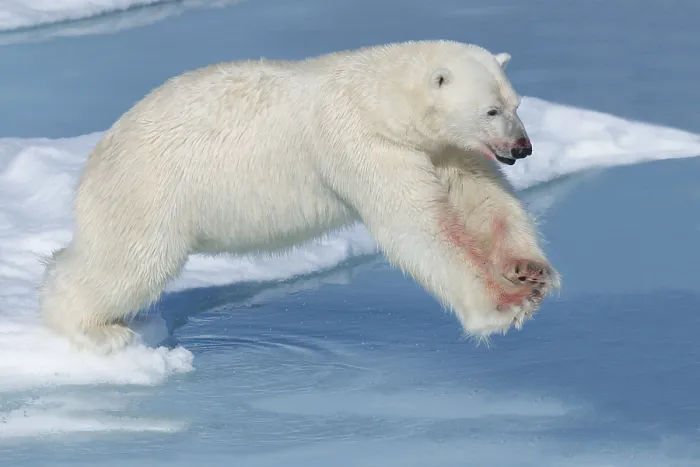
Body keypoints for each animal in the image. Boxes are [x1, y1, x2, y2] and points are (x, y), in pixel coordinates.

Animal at [38, 40, 560, 354]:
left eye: (516, 105)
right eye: (491, 110)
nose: (523, 147)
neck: (377, 96)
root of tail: (96, 155)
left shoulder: (443, 149)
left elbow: (484, 201)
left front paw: (528, 272)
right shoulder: (360, 142)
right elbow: (416, 226)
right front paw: (502, 305)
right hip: (148, 187)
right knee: (130, 260)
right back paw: (96, 328)